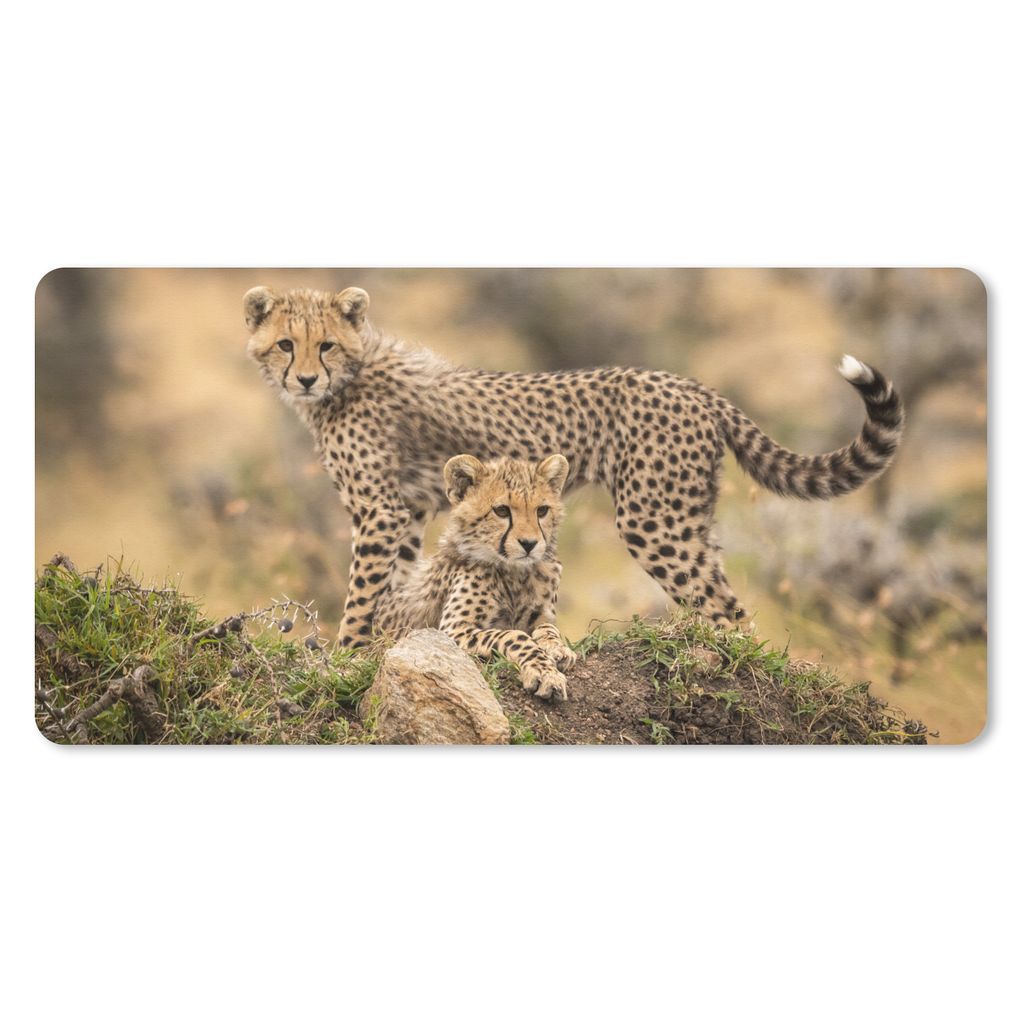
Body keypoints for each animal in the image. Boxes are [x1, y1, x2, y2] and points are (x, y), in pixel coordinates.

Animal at [244, 284, 905, 647]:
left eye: (326, 345)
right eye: (286, 344)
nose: (305, 378)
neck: (351, 377)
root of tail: (692, 386)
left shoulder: (381, 512)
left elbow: (361, 595)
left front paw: (345, 655)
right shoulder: (407, 513)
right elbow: (397, 587)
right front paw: (380, 643)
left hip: (653, 519)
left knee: (727, 609)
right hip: (688, 516)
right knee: (718, 589)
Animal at [374, 453, 577, 701]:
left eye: (542, 510)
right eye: (502, 511)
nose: (529, 544)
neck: (514, 573)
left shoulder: (541, 615)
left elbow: (548, 628)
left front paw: (558, 649)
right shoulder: (452, 630)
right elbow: (514, 635)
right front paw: (543, 672)